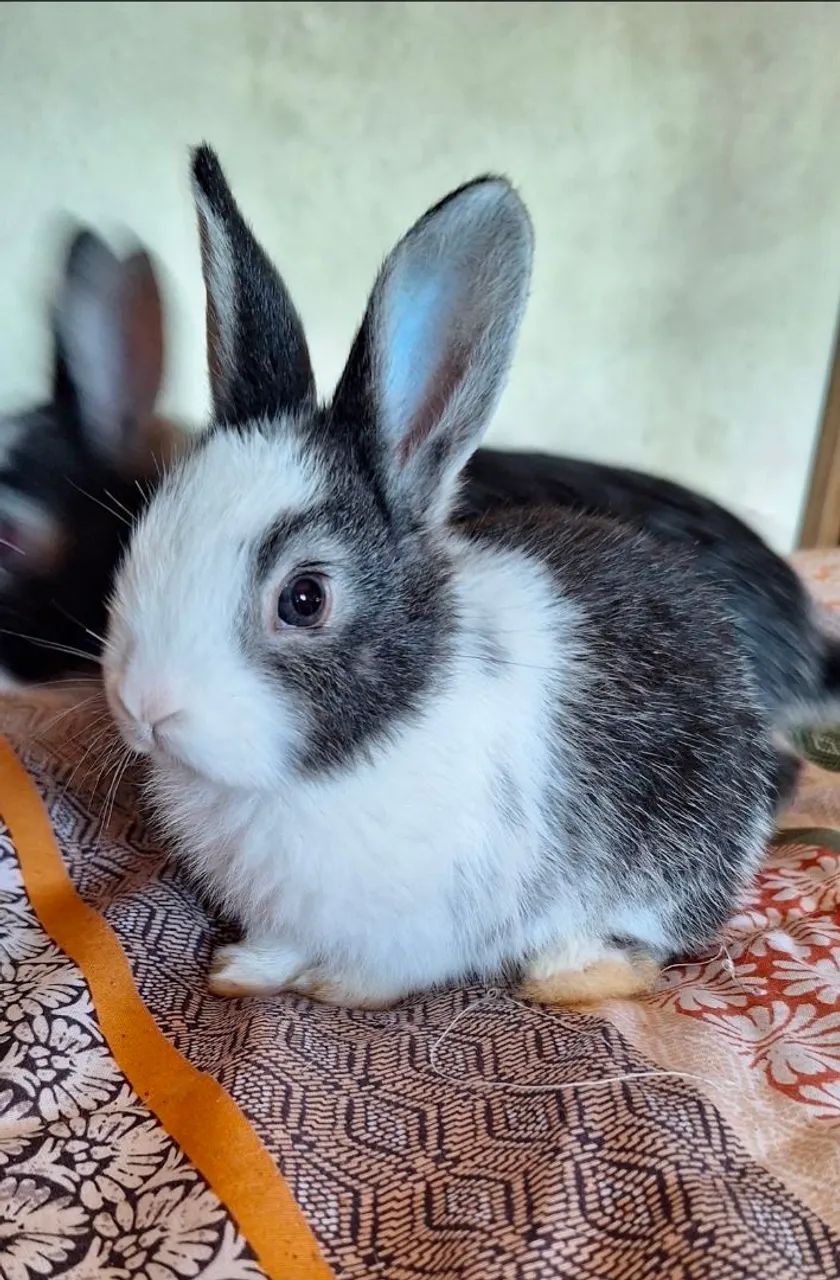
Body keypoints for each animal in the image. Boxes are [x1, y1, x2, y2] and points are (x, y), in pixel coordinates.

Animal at [102, 146, 783, 1009]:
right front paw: (241, 972)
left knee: (647, 942)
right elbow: (280, 944)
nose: (143, 706)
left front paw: (338, 989)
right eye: (148, 530)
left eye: (304, 598)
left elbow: (381, 971)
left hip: (674, 852)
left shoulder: (432, 926)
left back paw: (565, 975)